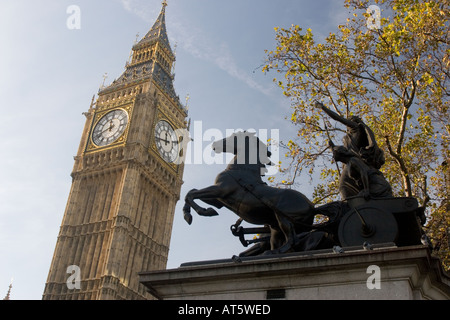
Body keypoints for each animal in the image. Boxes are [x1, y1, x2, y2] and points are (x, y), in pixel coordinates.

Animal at [183, 131, 316, 254]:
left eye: (234, 136)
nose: (214, 144)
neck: (241, 171)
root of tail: (312, 206)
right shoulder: (219, 200)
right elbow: (191, 192)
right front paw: (190, 214)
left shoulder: (220, 190)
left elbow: (190, 195)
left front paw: (203, 212)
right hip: (276, 229)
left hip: (283, 218)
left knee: (292, 239)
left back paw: (273, 252)